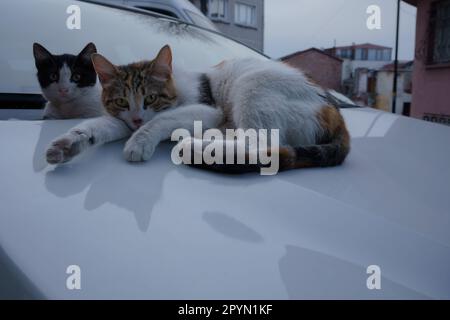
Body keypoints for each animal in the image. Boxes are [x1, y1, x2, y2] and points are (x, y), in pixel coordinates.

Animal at [45, 45, 350, 172]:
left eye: (151, 98)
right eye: (121, 101)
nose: (137, 119)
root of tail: (335, 111)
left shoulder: (207, 109)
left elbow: (161, 120)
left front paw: (140, 141)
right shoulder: (121, 119)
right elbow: (96, 127)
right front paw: (68, 143)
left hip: (252, 85)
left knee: (262, 143)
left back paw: (201, 144)